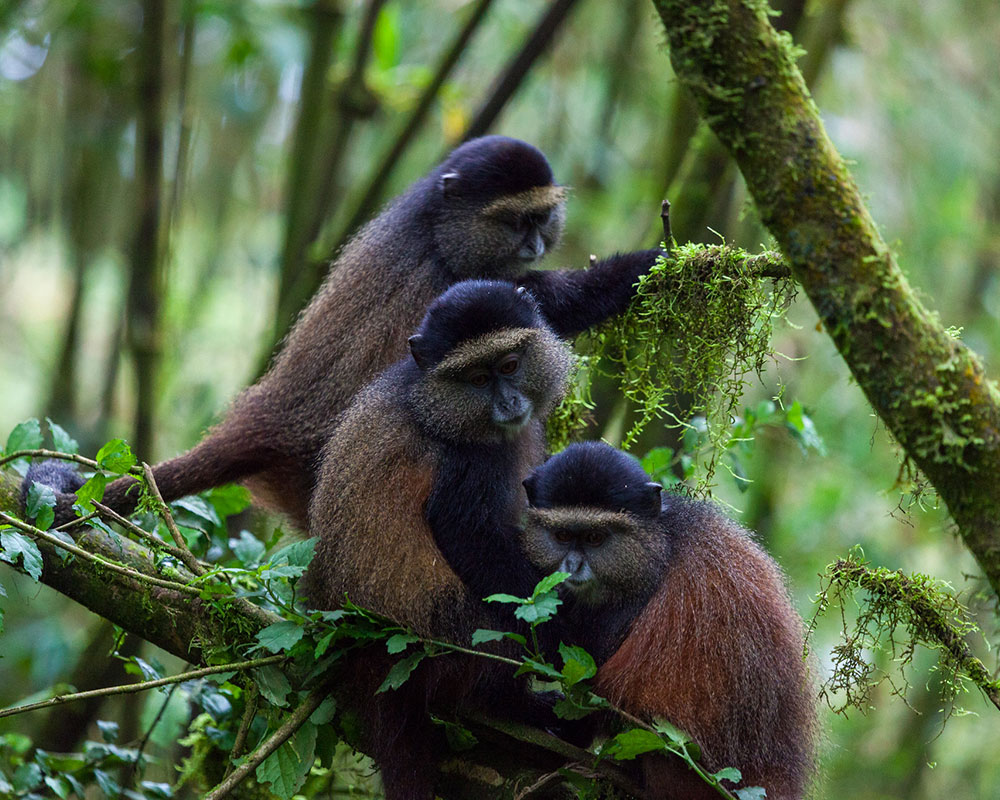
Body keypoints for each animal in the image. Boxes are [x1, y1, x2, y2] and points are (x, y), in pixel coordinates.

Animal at [28, 136, 662, 530]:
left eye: (541, 218)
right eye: (514, 220)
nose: (533, 243)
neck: (435, 229)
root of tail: (271, 417)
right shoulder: (452, 286)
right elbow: (542, 304)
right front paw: (652, 265)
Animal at [302, 279, 575, 800]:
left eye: (510, 366)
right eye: (477, 379)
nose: (509, 404)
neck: (433, 401)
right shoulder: (466, 465)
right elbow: (472, 540)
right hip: (449, 643)